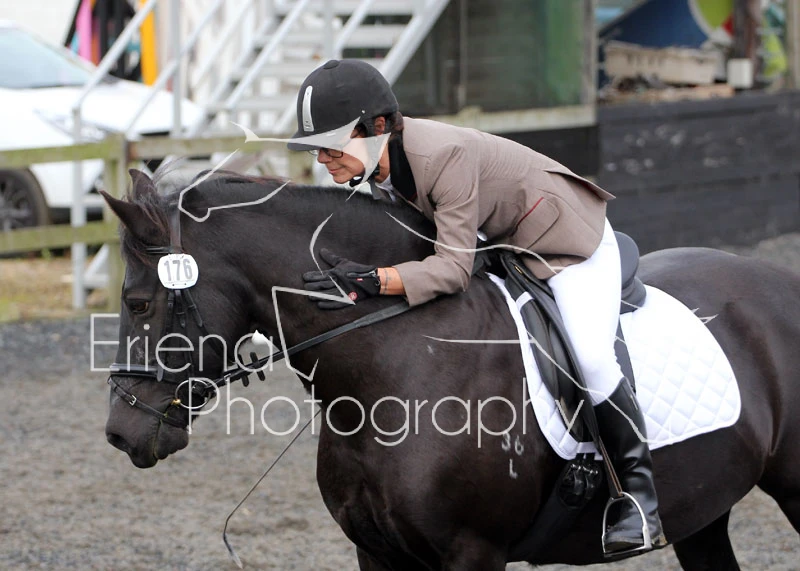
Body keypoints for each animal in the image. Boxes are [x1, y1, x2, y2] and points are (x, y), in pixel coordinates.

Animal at [102, 169, 800, 570]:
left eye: (138, 303)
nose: (119, 432)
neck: (389, 372)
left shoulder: (472, 552)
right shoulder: (378, 554)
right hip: (704, 508)